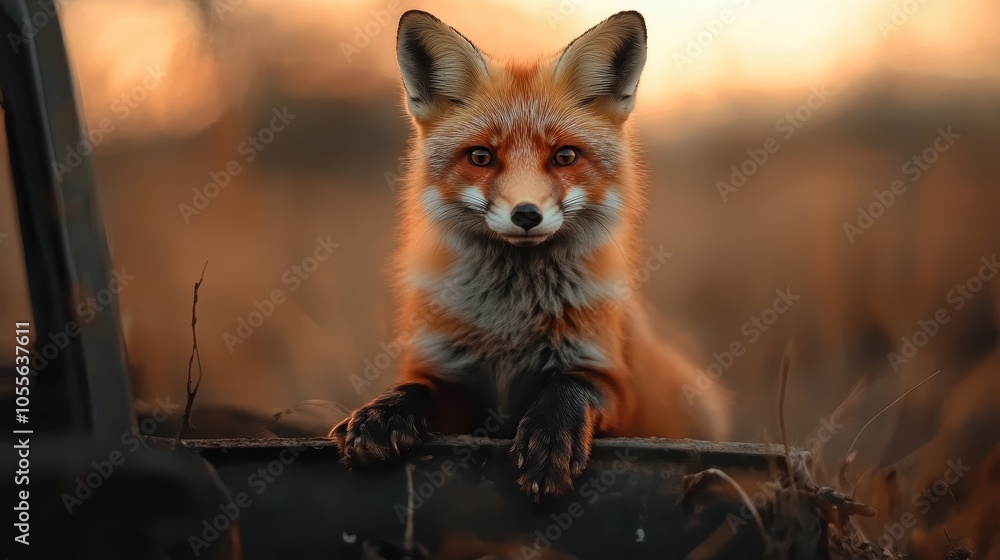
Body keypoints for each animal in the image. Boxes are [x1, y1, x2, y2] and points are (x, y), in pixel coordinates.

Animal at [329, 10, 729, 498]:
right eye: (481, 157)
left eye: (565, 157)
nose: (525, 214)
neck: (510, 321)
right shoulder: (451, 373)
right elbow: (417, 387)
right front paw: (381, 414)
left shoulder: (613, 381)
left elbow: (569, 385)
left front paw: (550, 439)